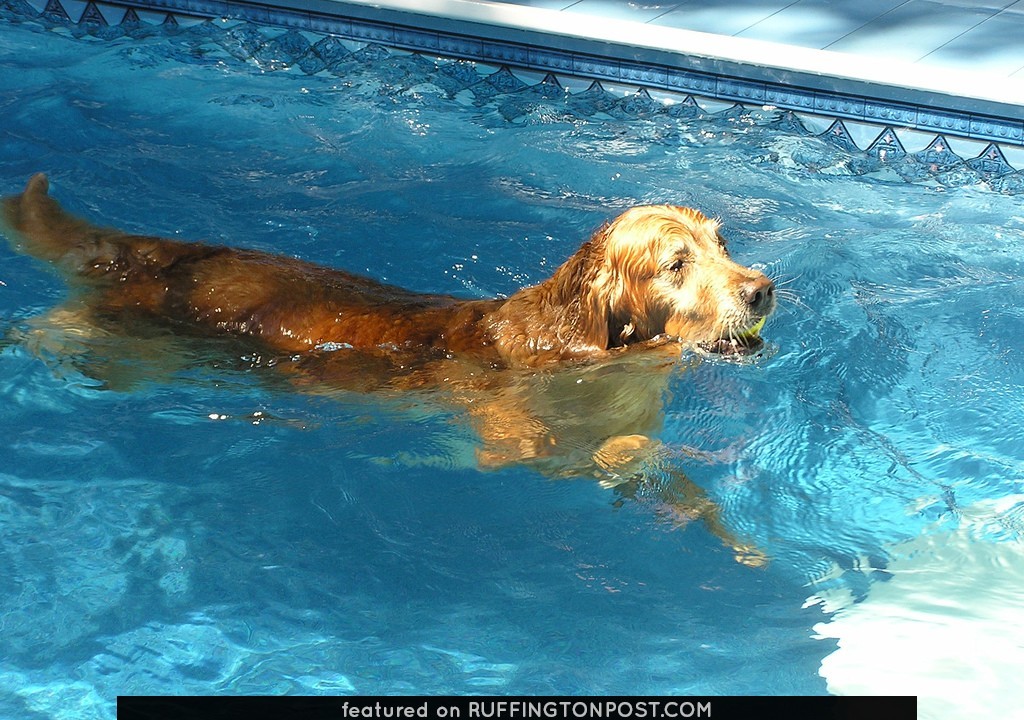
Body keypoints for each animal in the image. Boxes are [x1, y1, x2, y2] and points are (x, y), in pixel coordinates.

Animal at [2, 173, 774, 565]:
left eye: (723, 243)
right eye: (676, 265)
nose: (762, 289)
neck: (591, 352)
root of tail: (157, 251)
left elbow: (667, 473)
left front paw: (737, 538)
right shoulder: (513, 439)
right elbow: (599, 450)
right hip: (131, 348)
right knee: (51, 329)